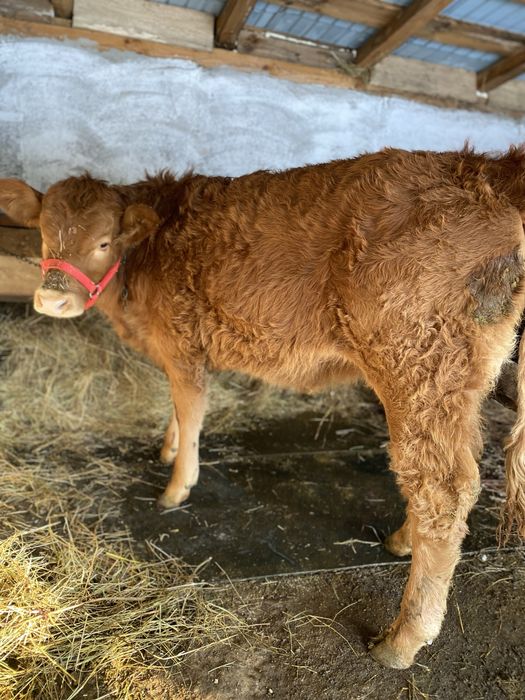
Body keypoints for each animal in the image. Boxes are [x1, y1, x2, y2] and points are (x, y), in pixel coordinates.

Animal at [2, 146, 525, 670]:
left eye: (104, 242)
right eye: (45, 234)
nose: (51, 299)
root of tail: (483, 168)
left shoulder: (183, 347)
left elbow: (190, 410)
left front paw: (176, 486)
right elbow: (176, 410)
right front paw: (169, 448)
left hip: (420, 367)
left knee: (443, 491)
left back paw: (402, 639)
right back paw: (402, 540)